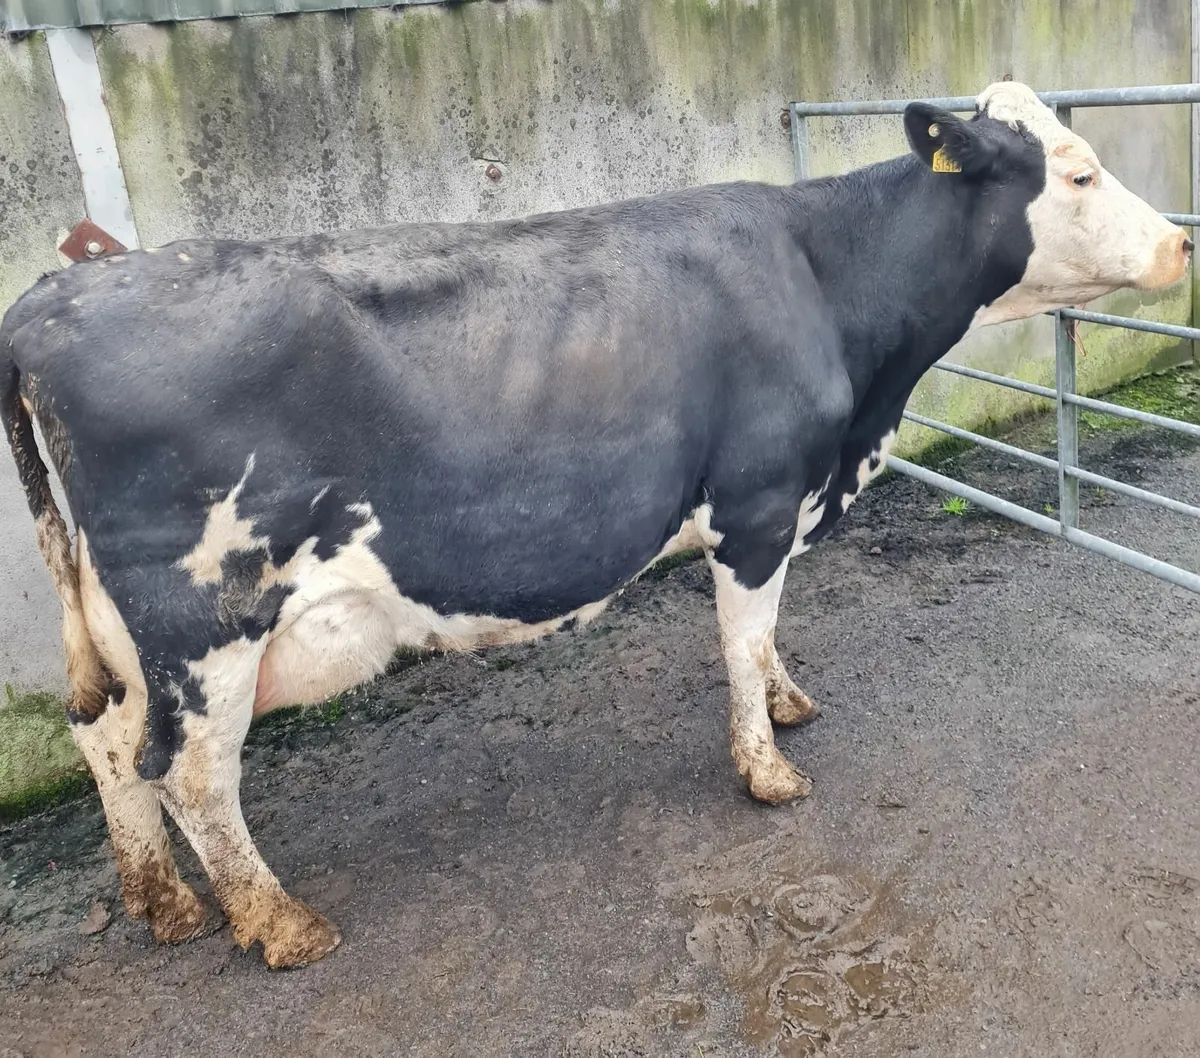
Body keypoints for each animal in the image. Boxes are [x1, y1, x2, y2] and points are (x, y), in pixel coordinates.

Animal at [1, 82, 1190, 969]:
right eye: (1079, 172)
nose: (1180, 247)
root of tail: (54, 298)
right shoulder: (759, 500)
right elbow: (743, 634)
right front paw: (767, 768)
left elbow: (768, 634)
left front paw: (788, 703)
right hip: (209, 615)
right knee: (191, 769)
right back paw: (277, 922)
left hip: (126, 626)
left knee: (108, 740)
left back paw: (161, 900)